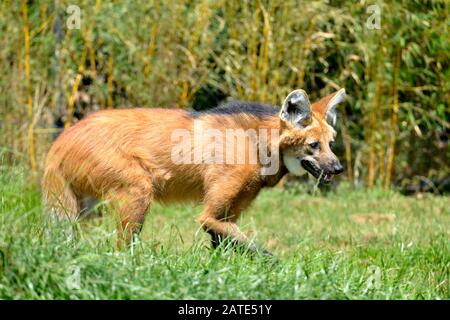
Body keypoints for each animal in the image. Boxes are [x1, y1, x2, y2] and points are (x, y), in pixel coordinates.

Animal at [43, 89, 344, 254]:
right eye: (313, 146)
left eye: (331, 144)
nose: (338, 168)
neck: (257, 144)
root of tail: (59, 141)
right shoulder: (212, 213)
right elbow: (254, 248)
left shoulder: (229, 212)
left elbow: (224, 246)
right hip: (137, 190)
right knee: (121, 246)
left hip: (83, 205)